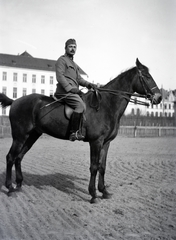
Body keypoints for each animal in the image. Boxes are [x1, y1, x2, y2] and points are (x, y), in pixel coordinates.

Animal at [0, 58, 162, 202]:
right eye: (147, 77)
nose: (159, 98)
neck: (106, 105)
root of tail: (15, 101)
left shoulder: (106, 143)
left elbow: (102, 167)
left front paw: (104, 191)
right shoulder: (96, 142)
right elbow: (94, 167)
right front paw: (93, 195)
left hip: (32, 135)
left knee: (19, 157)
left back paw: (19, 185)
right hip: (20, 136)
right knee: (10, 157)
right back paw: (10, 188)